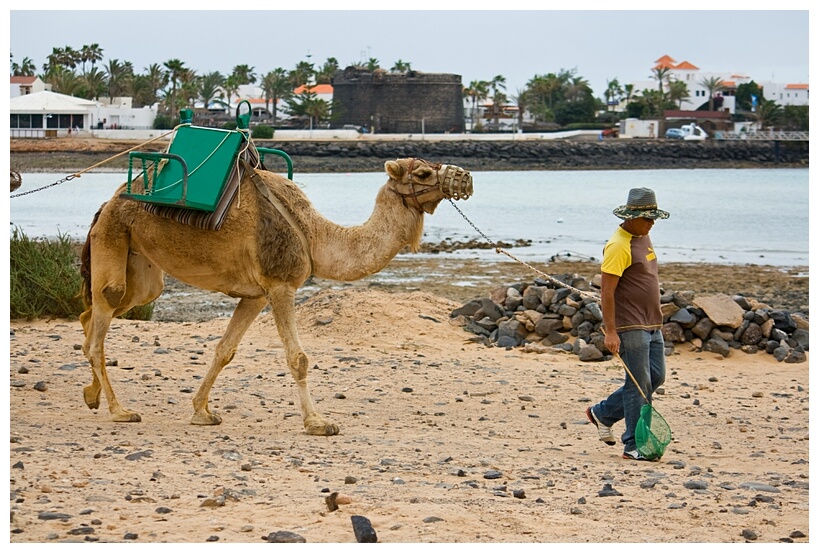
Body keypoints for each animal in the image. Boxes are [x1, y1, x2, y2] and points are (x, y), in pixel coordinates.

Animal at [80, 156, 474, 436]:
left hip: (143, 271)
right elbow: (298, 358)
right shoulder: (281, 285)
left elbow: (225, 350)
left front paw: (202, 412)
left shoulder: (256, 294)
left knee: (93, 316)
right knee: (103, 319)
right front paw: (318, 423)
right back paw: (119, 410)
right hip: (114, 236)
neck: (314, 235)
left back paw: (91, 394)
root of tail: (106, 204)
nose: (466, 178)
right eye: (422, 173)